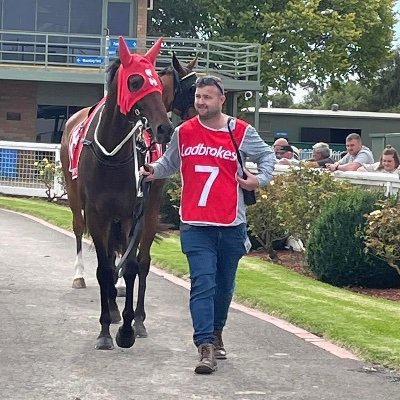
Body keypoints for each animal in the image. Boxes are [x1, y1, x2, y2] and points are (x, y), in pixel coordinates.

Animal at [61, 43, 198, 350]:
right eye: (136, 82)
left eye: (156, 82)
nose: (164, 128)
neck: (111, 152)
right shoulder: (97, 213)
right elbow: (104, 267)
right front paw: (104, 330)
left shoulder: (134, 211)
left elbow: (134, 264)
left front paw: (130, 325)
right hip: (74, 196)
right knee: (79, 230)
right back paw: (80, 278)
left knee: (131, 257)